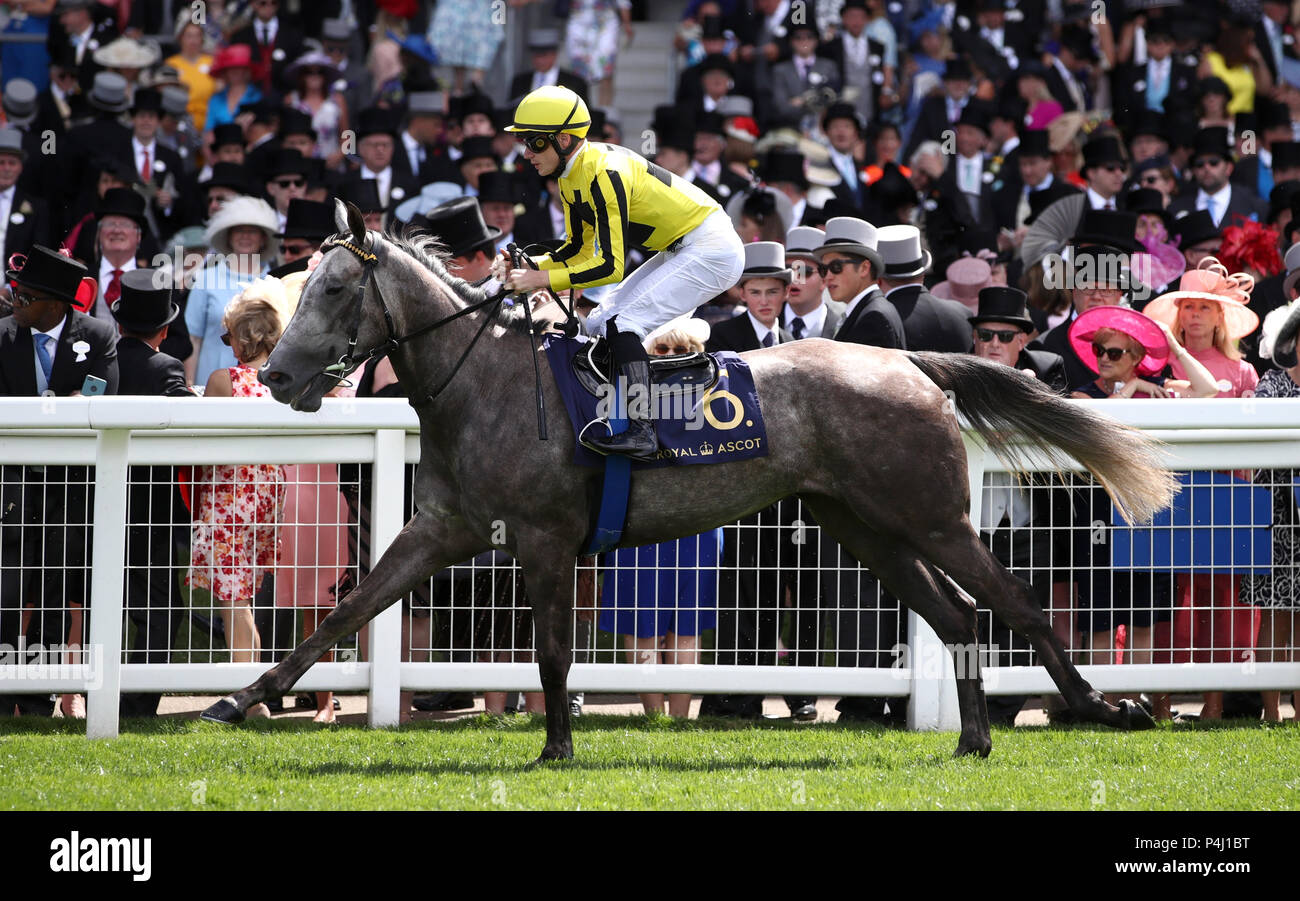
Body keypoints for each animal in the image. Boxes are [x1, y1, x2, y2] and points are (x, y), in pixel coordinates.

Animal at [202, 204, 1180, 759]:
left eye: (335, 289)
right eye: (303, 283)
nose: (278, 375)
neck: (483, 381)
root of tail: (911, 365)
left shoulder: (547, 538)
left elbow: (552, 650)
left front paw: (557, 747)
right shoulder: (443, 527)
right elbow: (345, 612)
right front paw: (238, 697)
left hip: (933, 518)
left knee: (1017, 603)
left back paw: (1110, 706)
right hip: (864, 526)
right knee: (959, 617)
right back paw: (973, 739)